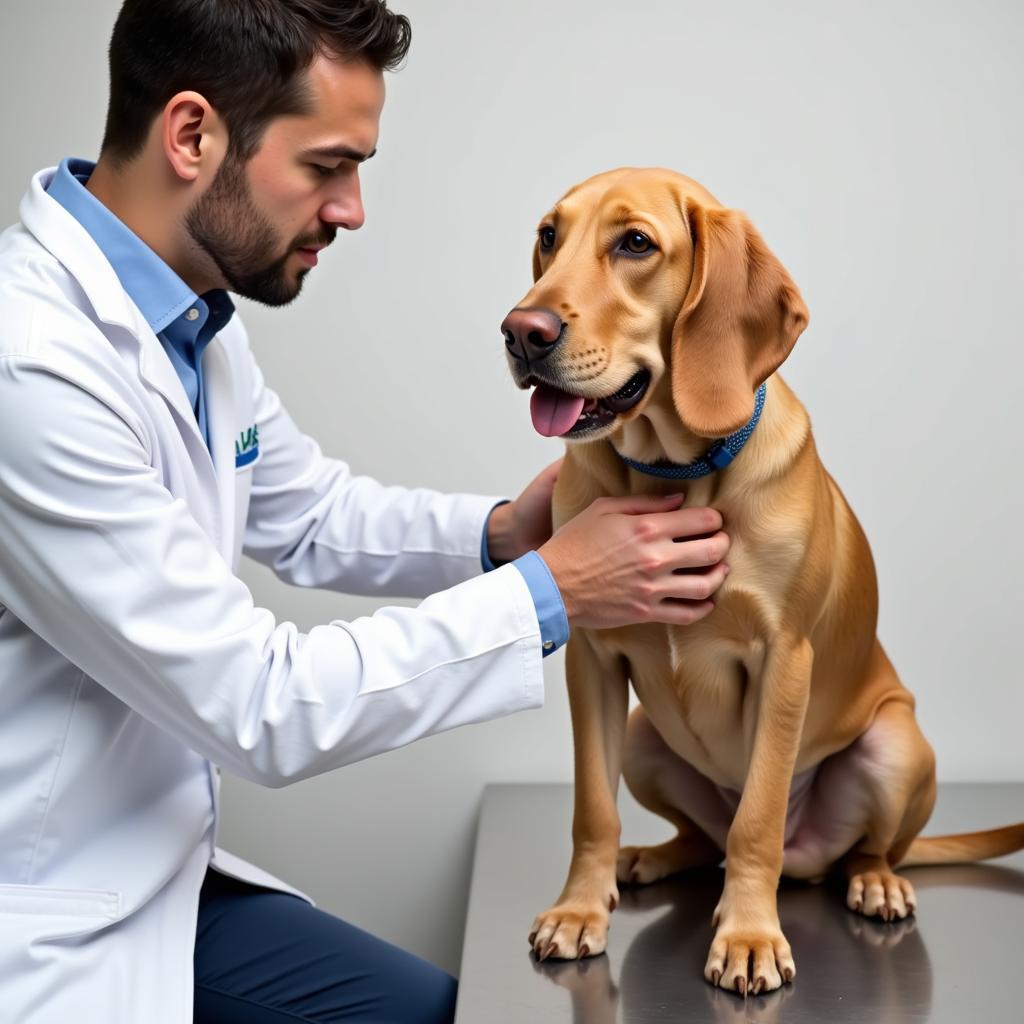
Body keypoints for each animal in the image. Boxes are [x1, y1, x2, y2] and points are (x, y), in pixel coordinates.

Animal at [501, 165, 1024, 991]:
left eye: (636, 243)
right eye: (550, 236)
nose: (522, 331)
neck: (675, 474)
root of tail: (815, 863)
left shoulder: (785, 661)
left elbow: (758, 820)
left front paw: (748, 934)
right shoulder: (594, 659)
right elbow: (593, 808)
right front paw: (580, 910)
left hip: (896, 745)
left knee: (852, 846)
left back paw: (874, 881)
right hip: (645, 739)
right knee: (704, 839)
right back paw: (652, 856)